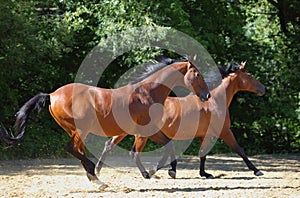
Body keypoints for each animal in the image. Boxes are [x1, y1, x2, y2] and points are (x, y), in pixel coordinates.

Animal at [0, 56, 211, 188]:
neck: (147, 93)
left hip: (75, 130)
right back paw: (94, 173)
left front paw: (167, 171)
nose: (207, 95)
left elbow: (167, 145)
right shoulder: (144, 130)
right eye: (197, 75)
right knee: (71, 148)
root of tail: (52, 95)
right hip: (81, 129)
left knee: (78, 150)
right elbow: (143, 151)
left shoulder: (145, 130)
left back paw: (96, 179)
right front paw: (152, 173)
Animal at [95, 61, 264, 179]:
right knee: (133, 151)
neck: (214, 102)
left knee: (109, 144)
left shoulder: (205, 134)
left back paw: (98, 169)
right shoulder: (225, 131)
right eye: (249, 75)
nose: (263, 89)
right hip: (141, 134)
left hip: (125, 131)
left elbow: (202, 154)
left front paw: (204, 173)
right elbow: (239, 150)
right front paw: (257, 171)